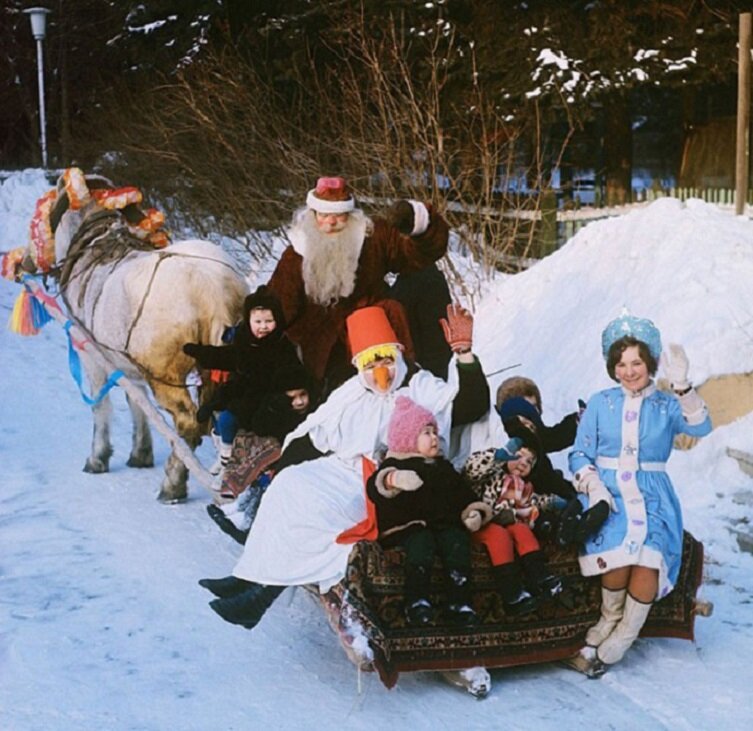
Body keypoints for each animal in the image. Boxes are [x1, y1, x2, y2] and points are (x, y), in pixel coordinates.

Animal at [39, 174, 247, 504]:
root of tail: (212, 288)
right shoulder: (128, 364)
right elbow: (137, 402)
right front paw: (141, 453)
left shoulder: (92, 354)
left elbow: (101, 406)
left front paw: (97, 458)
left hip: (166, 375)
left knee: (189, 423)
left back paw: (174, 483)